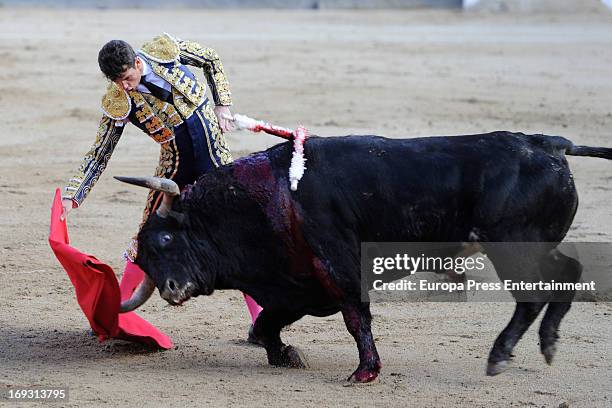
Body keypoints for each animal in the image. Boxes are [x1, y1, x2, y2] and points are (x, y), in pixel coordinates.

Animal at [117, 133, 608, 382]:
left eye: (165, 238)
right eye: (146, 259)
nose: (170, 290)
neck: (270, 196)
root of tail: (548, 144)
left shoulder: (339, 270)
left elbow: (357, 318)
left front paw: (365, 372)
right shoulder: (296, 287)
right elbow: (266, 324)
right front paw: (285, 356)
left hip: (514, 245)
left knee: (536, 292)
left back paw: (501, 355)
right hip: (532, 244)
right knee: (565, 273)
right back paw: (545, 345)